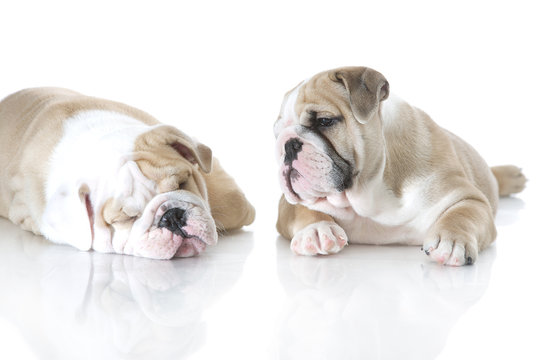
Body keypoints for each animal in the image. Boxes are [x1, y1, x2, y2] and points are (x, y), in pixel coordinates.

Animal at [274, 66, 524, 266]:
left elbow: (462, 214)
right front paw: (316, 230)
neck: (370, 190)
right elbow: (304, 209)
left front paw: (452, 240)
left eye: (324, 121)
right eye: (276, 134)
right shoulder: (288, 203)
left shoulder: (465, 196)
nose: (288, 145)